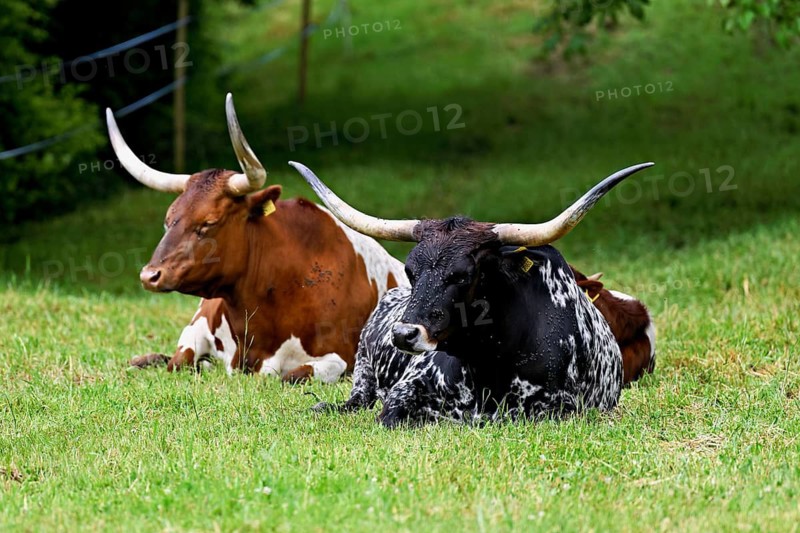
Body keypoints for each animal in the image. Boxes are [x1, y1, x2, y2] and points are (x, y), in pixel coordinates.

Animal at [107, 93, 408, 383]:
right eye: (168, 220)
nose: (150, 276)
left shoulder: (340, 358)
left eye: (209, 222)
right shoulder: (195, 328)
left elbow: (292, 376)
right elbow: (178, 361)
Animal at [290, 160, 655, 425]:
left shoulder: (558, 409)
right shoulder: (404, 390)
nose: (404, 334)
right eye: (410, 270)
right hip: (363, 369)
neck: (490, 361)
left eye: (462, 275)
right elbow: (392, 412)